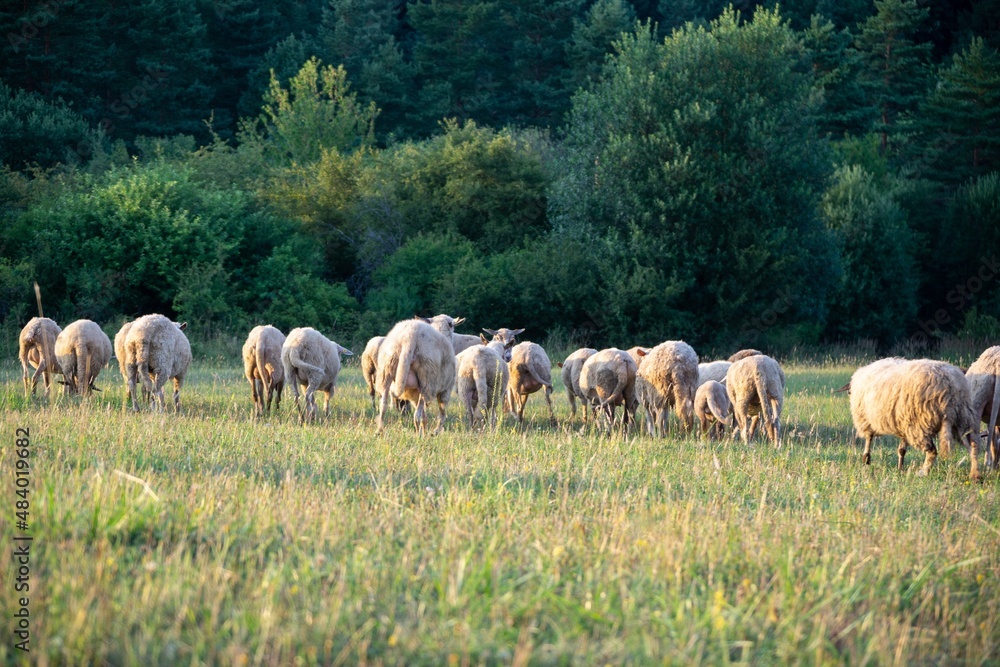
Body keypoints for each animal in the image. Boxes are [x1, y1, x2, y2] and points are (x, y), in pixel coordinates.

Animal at [844, 358, 982, 480]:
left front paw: (866, 460)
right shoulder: (904, 424)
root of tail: (951, 388)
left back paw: (923, 472)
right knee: (973, 447)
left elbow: (869, 440)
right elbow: (901, 450)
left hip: (920, 425)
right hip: (963, 420)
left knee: (932, 451)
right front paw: (900, 468)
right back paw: (975, 475)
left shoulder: (865, 420)